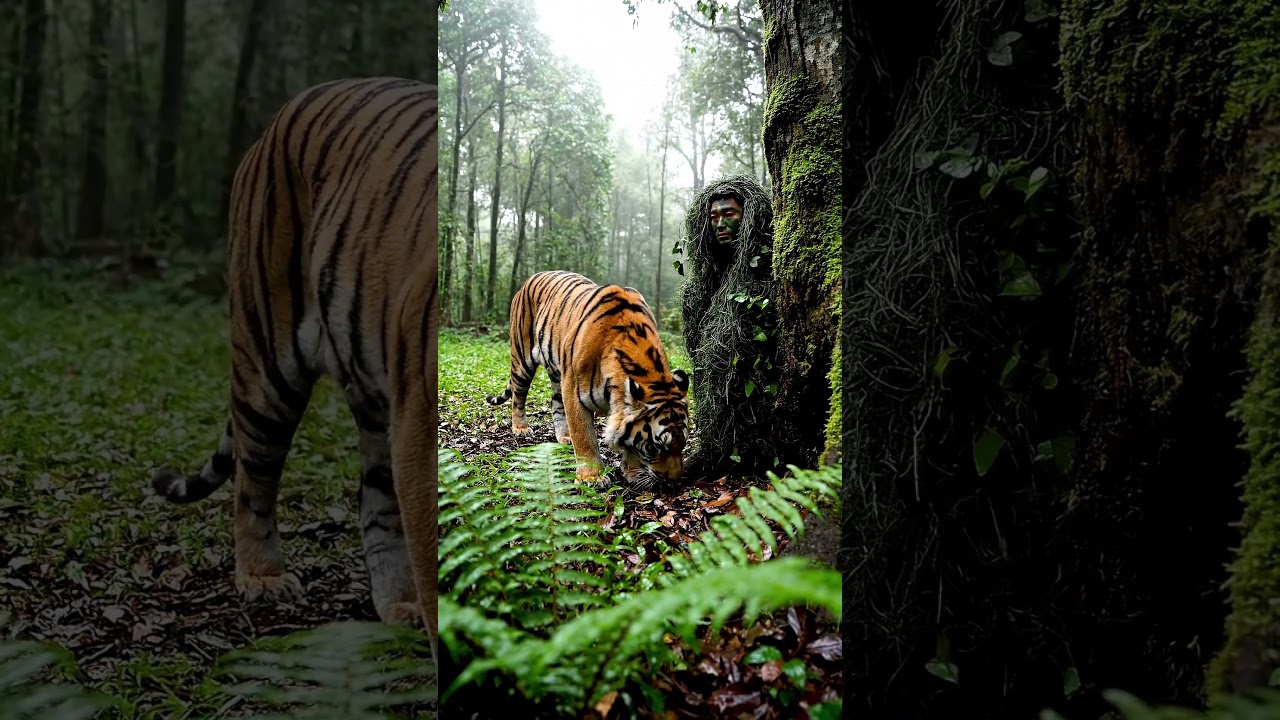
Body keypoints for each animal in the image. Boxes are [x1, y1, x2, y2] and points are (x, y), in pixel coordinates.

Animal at [150, 77, 439, 664]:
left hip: (375, 395)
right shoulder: (422, 422)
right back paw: (263, 578)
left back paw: (399, 604)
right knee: (252, 483)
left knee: (376, 501)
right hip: (267, 364)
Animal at [486, 270, 691, 490]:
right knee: (518, 397)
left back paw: (564, 436)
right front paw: (591, 477)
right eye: (655, 447)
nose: (674, 481)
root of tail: (533, 277)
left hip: (557, 372)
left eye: (683, 444)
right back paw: (521, 428)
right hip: (522, 359)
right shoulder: (574, 391)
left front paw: (633, 472)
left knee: (555, 403)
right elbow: (584, 437)